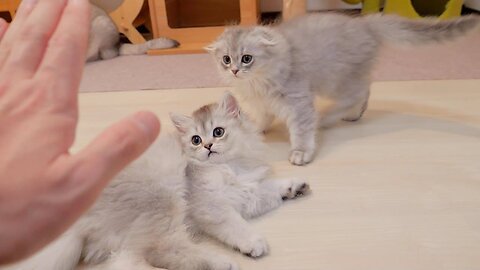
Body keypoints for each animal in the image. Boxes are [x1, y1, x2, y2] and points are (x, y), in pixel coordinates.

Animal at [170, 92, 312, 258]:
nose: (207, 146)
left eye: (218, 132)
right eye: (196, 140)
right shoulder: (210, 205)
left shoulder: (246, 193)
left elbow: (270, 187)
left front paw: (294, 187)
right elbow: (236, 225)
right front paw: (253, 242)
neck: (228, 167)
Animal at [206, 13, 480, 166]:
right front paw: (254, 129)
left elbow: (302, 132)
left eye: (247, 59)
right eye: (226, 60)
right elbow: (261, 119)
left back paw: (331, 117)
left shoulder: (299, 102)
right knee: (365, 89)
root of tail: (365, 24)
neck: (258, 83)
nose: (234, 71)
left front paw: (301, 152)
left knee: (358, 93)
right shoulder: (262, 105)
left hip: (335, 82)